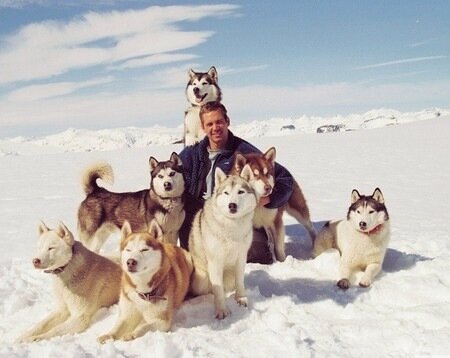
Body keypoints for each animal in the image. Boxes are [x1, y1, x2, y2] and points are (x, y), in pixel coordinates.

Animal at [187, 165, 256, 318]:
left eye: (241, 192)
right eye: (226, 193)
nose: (232, 205)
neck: (232, 227)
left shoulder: (241, 257)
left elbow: (240, 281)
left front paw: (241, 299)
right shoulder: (215, 260)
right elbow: (218, 290)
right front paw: (222, 310)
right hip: (202, 279)